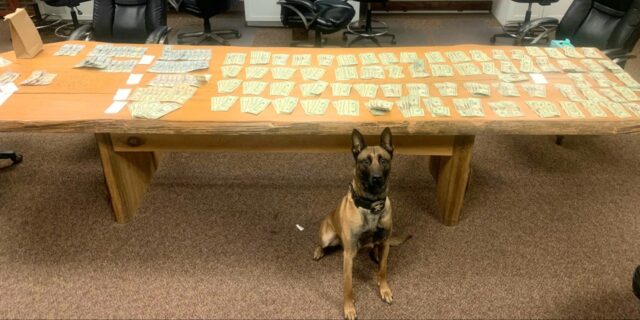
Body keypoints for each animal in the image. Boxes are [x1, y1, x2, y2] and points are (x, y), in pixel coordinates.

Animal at [314, 127, 400, 320]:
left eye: (383, 160)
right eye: (365, 161)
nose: (376, 178)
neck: (371, 206)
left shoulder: (385, 242)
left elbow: (383, 270)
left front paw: (384, 289)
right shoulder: (348, 256)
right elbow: (348, 286)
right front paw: (349, 307)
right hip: (327, 236)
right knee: (321, 243)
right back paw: (318, 251)